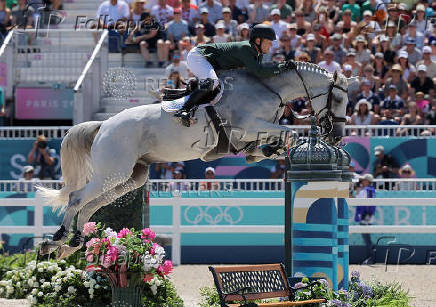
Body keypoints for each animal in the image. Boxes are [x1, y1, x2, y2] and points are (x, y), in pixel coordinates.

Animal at [36, 61, 350, 258]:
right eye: (337, 100)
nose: (336, 136)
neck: (268, 88)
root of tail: (104, 124)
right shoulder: (247, 126)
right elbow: (287, 132)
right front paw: (282, 146)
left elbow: (270, 143)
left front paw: (270, 152)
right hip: (112, 172)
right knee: (77, 198)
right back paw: (57, 238)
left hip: (130, 178)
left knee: (91, 205)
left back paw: (72, 243)